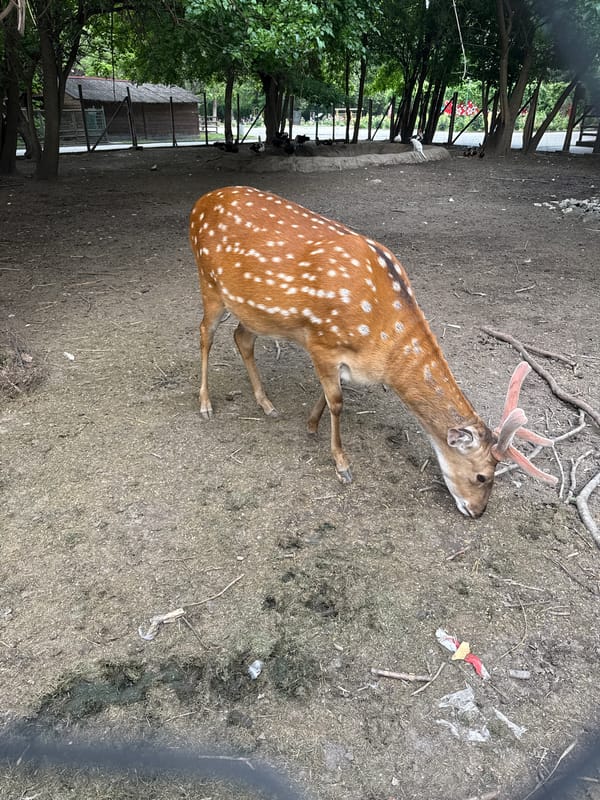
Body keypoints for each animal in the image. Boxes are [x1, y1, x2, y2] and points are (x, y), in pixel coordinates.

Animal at [189, 186, 556, 518]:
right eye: (482, 476)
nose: (478, 512)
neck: (381, 352)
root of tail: (201, 202)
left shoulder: (344, 359)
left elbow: (331, 392)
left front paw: (310, 424)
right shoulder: (321, 341)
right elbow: (338, 402)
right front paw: (342, 465)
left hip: (252, 310)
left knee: (241, 338)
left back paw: (266, 403)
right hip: (210, 284)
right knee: (205, 334)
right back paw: (205, 404)